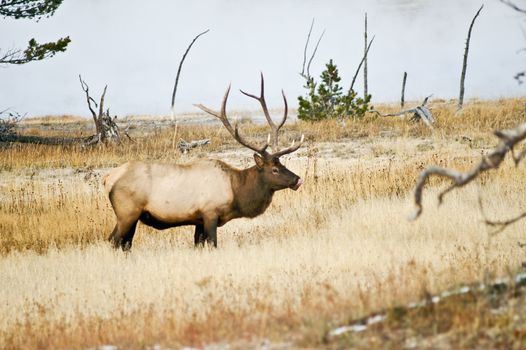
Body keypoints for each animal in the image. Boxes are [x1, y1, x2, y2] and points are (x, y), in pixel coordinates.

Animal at [103, 74, 306, 249]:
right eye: (274, 169)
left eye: (282, 164)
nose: (298, 179)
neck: (236, 191)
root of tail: (107, 178)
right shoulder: (210, 213)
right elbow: (213, 244)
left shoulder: (198, 220)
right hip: (127, 212)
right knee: (113, 241)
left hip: (133, 216)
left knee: (125, 244)